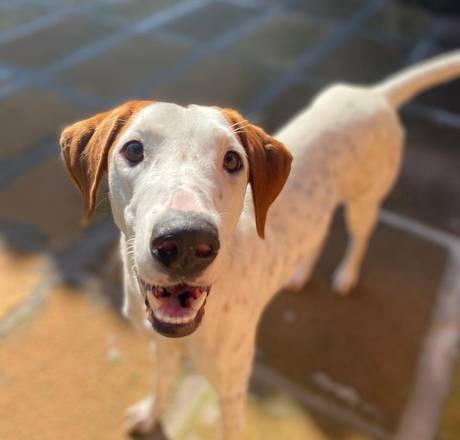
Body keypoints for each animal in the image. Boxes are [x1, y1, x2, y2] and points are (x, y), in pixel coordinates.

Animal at [60, 50, 460, 439]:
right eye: (133, 149)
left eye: (232, 159)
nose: (187, 241)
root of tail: (373, 94)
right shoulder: (161, 348)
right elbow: (161, 385)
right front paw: (149, 416)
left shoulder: (233, 387)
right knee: (318, 233)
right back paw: (299, 273)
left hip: (363, 202)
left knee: (361, 236)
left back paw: (346, 275)